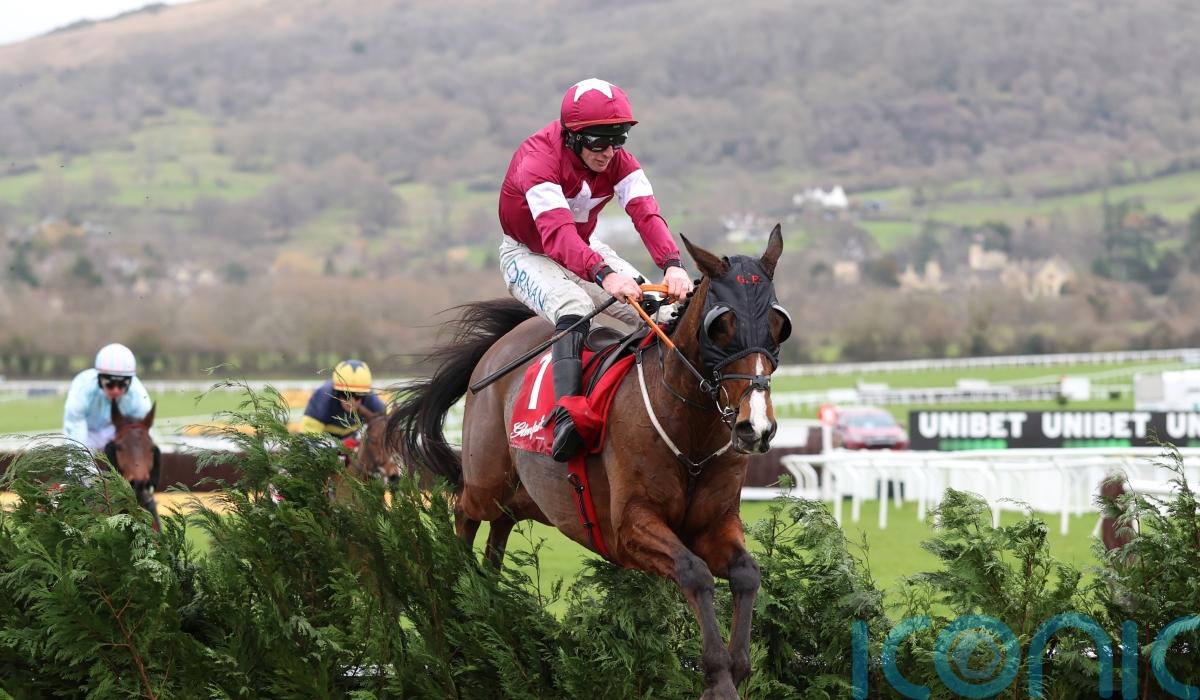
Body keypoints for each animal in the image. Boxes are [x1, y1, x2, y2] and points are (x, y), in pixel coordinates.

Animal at [390, 226, 790, 699]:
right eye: (721, 327)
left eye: (777, 326)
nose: (755, 427)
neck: (691, 434)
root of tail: (499, 346)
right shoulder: (630, 528)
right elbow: (694, 573)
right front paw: (717, 677)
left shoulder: (716, 522)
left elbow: (747, 573)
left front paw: (738, 667)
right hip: (486, 483)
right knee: (466, 514)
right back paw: (456, 603)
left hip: (522, 496)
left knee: (498, 531)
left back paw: (485, 601)